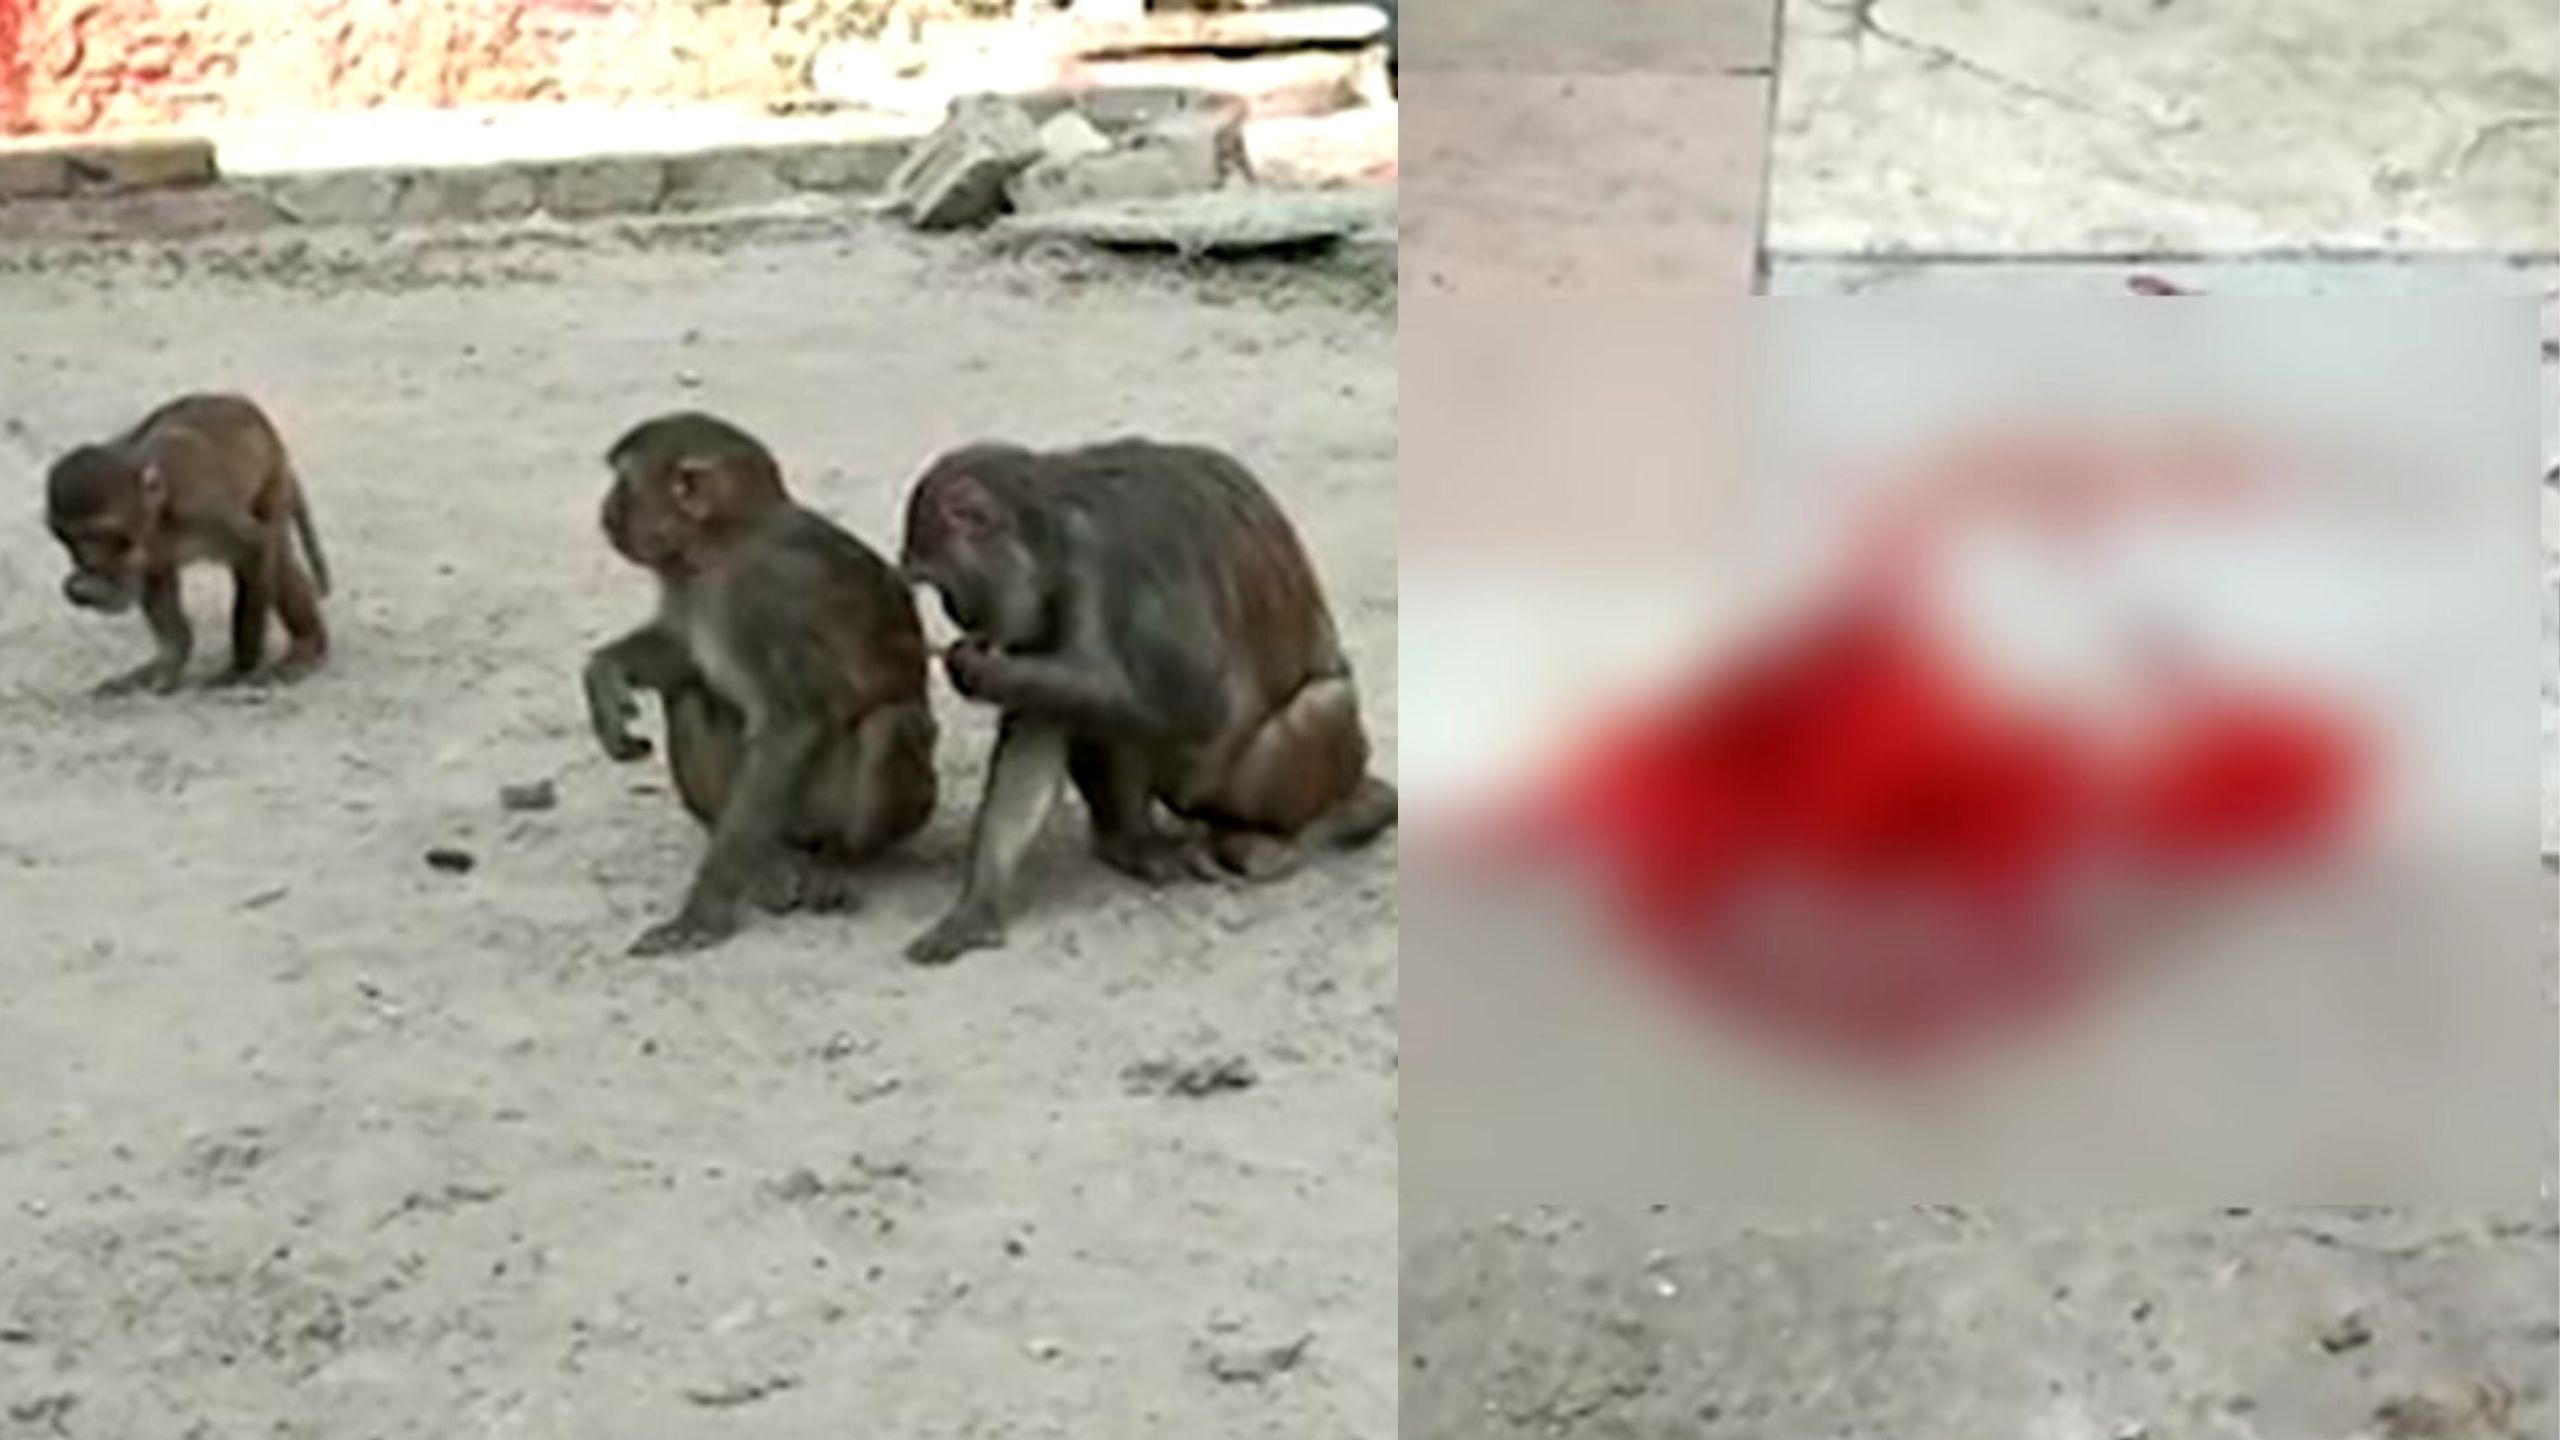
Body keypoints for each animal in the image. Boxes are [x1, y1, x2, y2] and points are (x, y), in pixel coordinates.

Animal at [44, 393, 332, 697]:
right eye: (67, 537)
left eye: (101, 534)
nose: (87, 561)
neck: (157, 520)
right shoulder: (148, 551)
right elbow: (153, 580)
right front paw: (169, 661)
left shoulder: (199, 508)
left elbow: (255, 546)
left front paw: (242, 665)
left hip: (273, 480)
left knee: (277, 556)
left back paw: (306, 646)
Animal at [582, 412, 938, 958]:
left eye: (622, 483)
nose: (605, 511)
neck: (723, 544)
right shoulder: (690, 581)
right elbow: (685, 654)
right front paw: (604, 674)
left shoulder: (767, 596)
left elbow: (792, 726)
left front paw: (704, 908)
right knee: (691, 696)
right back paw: (770, 861)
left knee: (892, 723)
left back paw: (837, 858)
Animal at [897, 437, 1397, 965]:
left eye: (939, 583)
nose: (956, 612)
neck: (1050, 532)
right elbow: (1036, 729)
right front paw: (979, 905)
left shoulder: (1106, 559)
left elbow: (1197, 698)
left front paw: (979, 671)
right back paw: (1132, 843)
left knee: (1320, 705)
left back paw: (1279, 838)